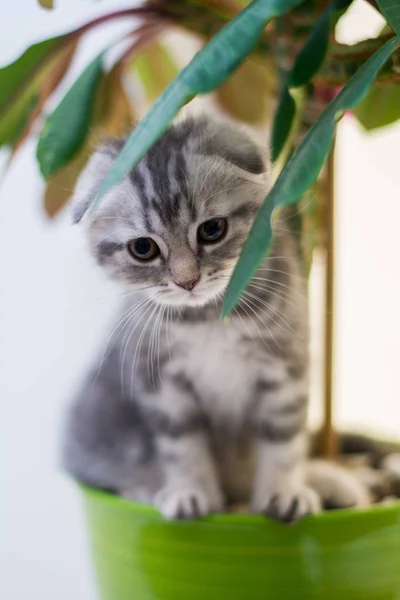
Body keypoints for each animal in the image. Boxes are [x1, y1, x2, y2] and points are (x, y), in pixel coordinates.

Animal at [62, 116, 366, 520]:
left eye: (212, 229)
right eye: (143, 248)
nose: (186, 280)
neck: (206, 319)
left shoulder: (286, 366)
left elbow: (283, 440)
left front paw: (284, 491)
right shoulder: (161, 380)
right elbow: (181, 444)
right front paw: (190, 492)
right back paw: (148, 489)